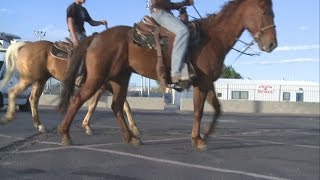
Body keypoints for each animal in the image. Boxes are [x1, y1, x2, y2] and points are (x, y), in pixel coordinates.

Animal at [0, 40, 140, 136]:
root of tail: (26, 45)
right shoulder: (101, 87)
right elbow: (93, 106)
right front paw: (87, 127)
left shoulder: (108, 87)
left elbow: (125, 105)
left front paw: (135, 128)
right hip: (29, 78)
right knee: (13, 92)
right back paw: (9, 117)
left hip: (40, 79)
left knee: (33, 99)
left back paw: (40, 126)